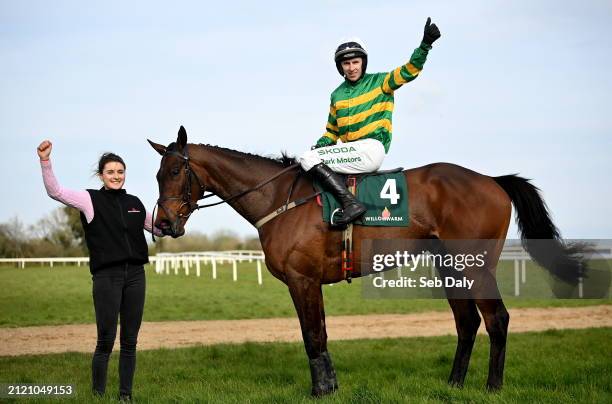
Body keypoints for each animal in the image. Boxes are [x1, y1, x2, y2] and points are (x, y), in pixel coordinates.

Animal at [146, 127, 580, 398]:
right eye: (156, 174)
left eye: (175, 170)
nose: (163, 223)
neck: (280, 198)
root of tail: (491, 179)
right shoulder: (308, 282)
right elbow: (319, 334)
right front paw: (330, 387)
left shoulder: (302, 279)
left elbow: (312, 336)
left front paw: (319, 391)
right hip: (449, 265)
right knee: (467, 322)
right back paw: (454, 384)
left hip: (476, 265)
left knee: (496, 319)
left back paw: (492, 387)